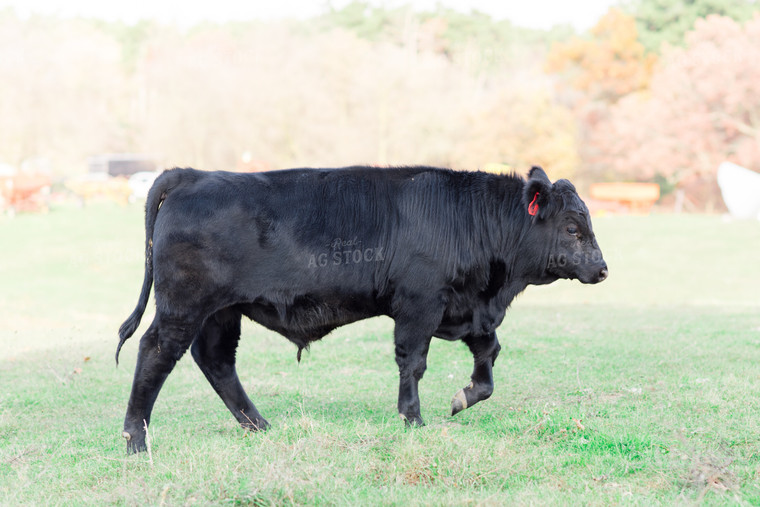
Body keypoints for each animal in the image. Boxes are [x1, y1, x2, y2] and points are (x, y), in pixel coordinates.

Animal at [116, 166, 608, 452]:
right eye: (572, 228)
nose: (603, 269)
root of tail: (191, 174)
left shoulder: (466, 310)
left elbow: (488, 356)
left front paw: (463, 397)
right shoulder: (419, 307)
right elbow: (413, 363)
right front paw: (413, 418)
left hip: (221, 313)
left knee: (216, 361)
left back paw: (258, 425)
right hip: (183, 307)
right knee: (155, 353)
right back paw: (136, 438)